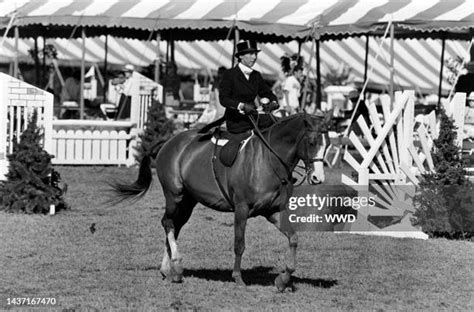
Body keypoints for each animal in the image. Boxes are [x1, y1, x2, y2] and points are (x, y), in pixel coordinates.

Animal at [112, 112, 332, 292]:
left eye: (328, 144)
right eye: (312, 142)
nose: (318, 178)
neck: (268, 160)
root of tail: (170, 142)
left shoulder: (273, 211)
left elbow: (293, 238)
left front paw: (283, 280)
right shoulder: (242, 209)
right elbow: (239, 244)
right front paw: (238, 278)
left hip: (188, 201)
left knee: (174, 226)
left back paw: (168, 270)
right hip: (174, 195)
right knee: (167, 223)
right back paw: (177, 265)